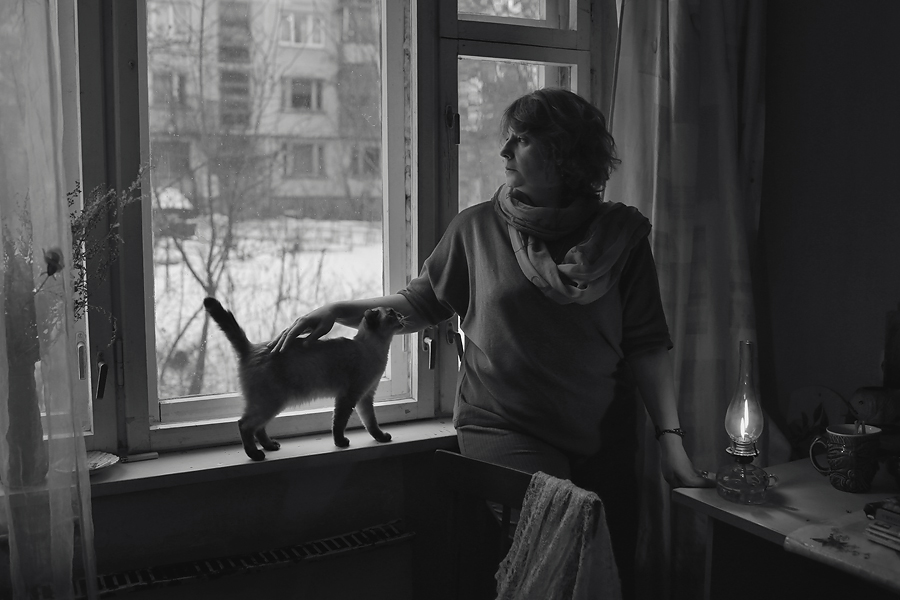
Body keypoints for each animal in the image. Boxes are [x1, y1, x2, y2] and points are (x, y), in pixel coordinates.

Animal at [203, 297, 403, 461]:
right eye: (392, 313)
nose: (402, 315)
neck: (375, 349)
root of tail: (252, 348)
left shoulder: (365, 397)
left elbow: (371, 423)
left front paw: (382, 438)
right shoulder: (349, 397)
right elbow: (339, 424)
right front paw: (341, 443)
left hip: (272, 404)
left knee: (258, 428)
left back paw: (270, 446)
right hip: (270, 403)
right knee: (244, 425)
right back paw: (255, 454)